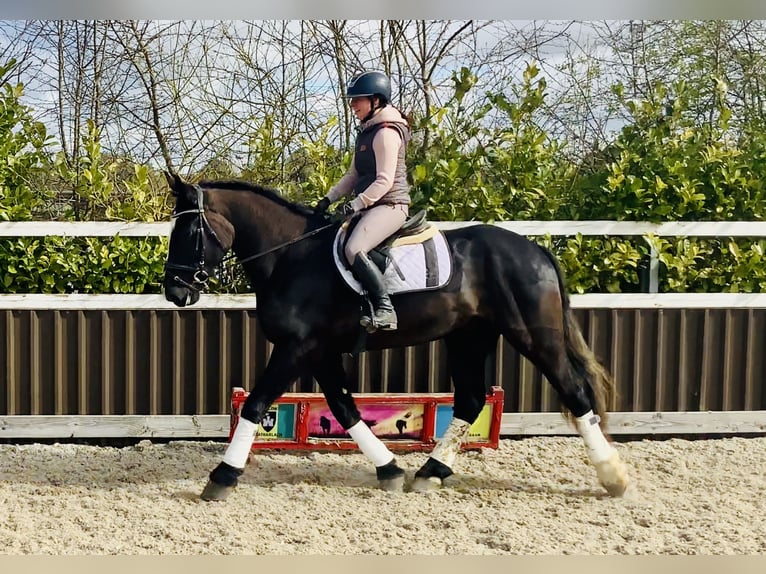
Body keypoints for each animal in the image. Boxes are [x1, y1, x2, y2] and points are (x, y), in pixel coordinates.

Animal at [164, 173, 632, 502]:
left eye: (188, 233)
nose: (175, 292)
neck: (290, 256)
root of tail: (535, 250)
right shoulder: (319, 351)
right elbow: (345, 408)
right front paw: (389, 469)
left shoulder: (297, 348)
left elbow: (257, 404)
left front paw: (222, 477)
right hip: (469, 338)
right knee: (471, 400)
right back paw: (430, 472)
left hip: (534, 336)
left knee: (574, 392)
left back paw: (614, 477)